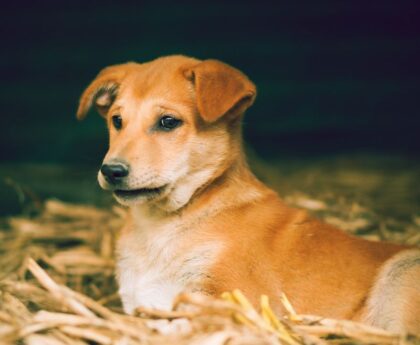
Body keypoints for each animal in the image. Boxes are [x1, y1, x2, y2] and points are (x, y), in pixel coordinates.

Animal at [78, 55, 420, 334]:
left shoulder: (235, 299)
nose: (111, 171)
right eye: (117, 121)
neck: (162, 225)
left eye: (168, 122)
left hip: (401, 273)